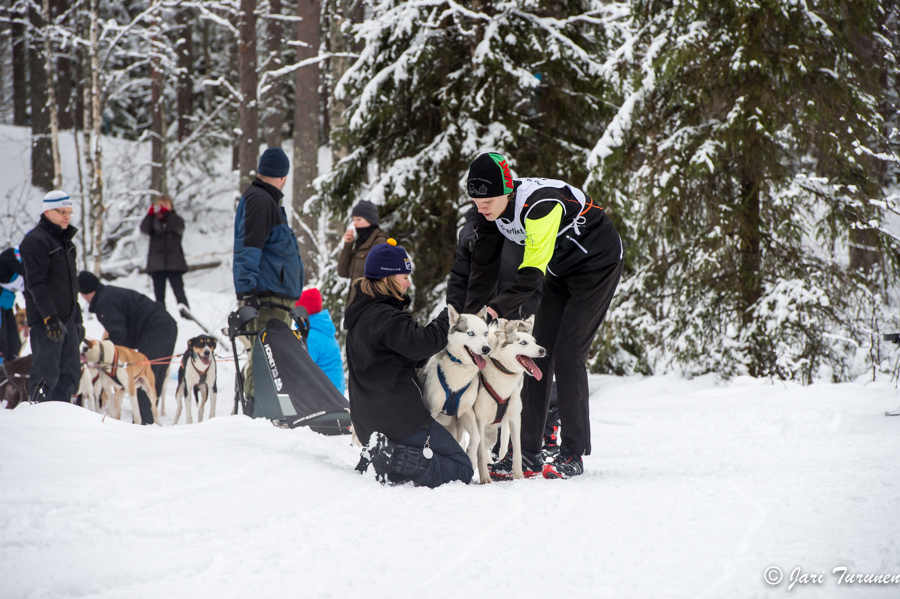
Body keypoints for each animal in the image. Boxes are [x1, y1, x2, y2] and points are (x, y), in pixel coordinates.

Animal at [420, 308, 492, 476]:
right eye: (470, 333)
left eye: (485, 333)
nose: (486, 349)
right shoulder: (433, 411)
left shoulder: (466, 412)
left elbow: (476, 437)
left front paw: (471, 458)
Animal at [474, 318, 544, 482]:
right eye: (523, 343)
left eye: (534, 341)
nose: (543, 350)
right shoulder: (479, 421)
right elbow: (479, 452)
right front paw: (485, 477)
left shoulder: (514, 419)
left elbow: (517, 451)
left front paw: (518, 476)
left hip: (492, 435)